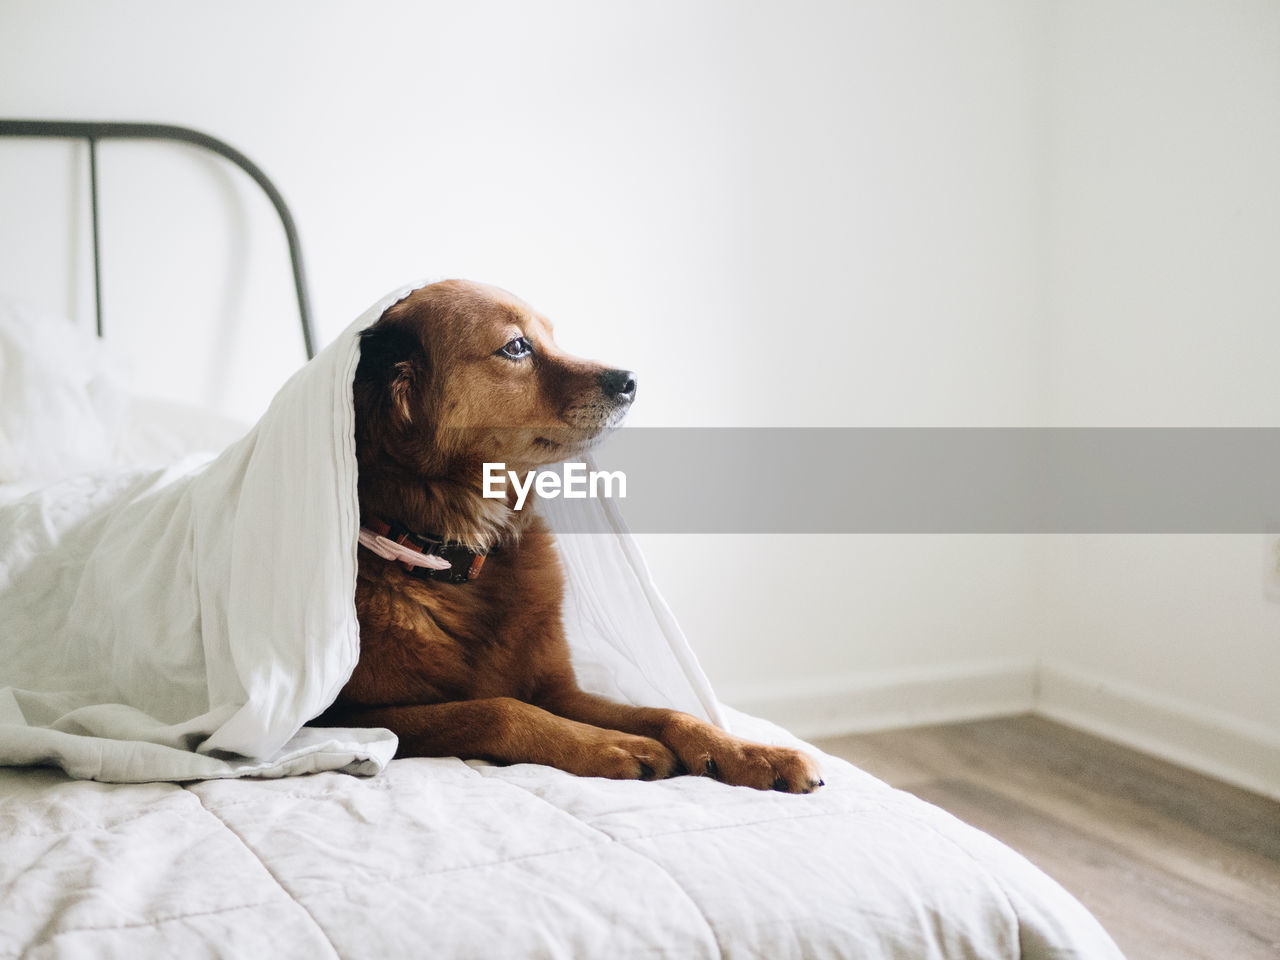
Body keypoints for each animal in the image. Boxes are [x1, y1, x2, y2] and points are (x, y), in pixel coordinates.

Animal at [316, 281, 824, 793]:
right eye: (516, 346)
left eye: (552, 336)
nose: (631, 380)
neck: (462, 558)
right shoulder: (350, 717)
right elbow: (499, 709)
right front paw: (610, 745)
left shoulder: (558, 689)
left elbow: (663, 713)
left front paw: (748, 752)